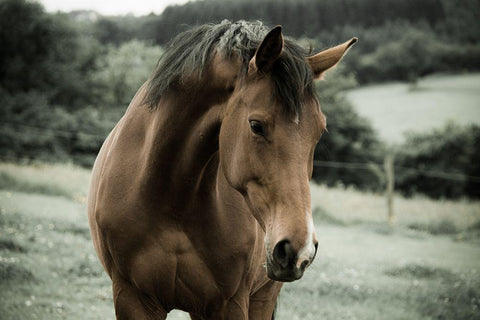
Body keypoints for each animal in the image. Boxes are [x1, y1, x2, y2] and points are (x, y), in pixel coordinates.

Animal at [87, 20, 356, 320]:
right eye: (256, 125)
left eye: (319, 131)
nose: (300, 249)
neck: (172, 199)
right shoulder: (132, 297)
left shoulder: (229, 304)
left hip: (262, 296)